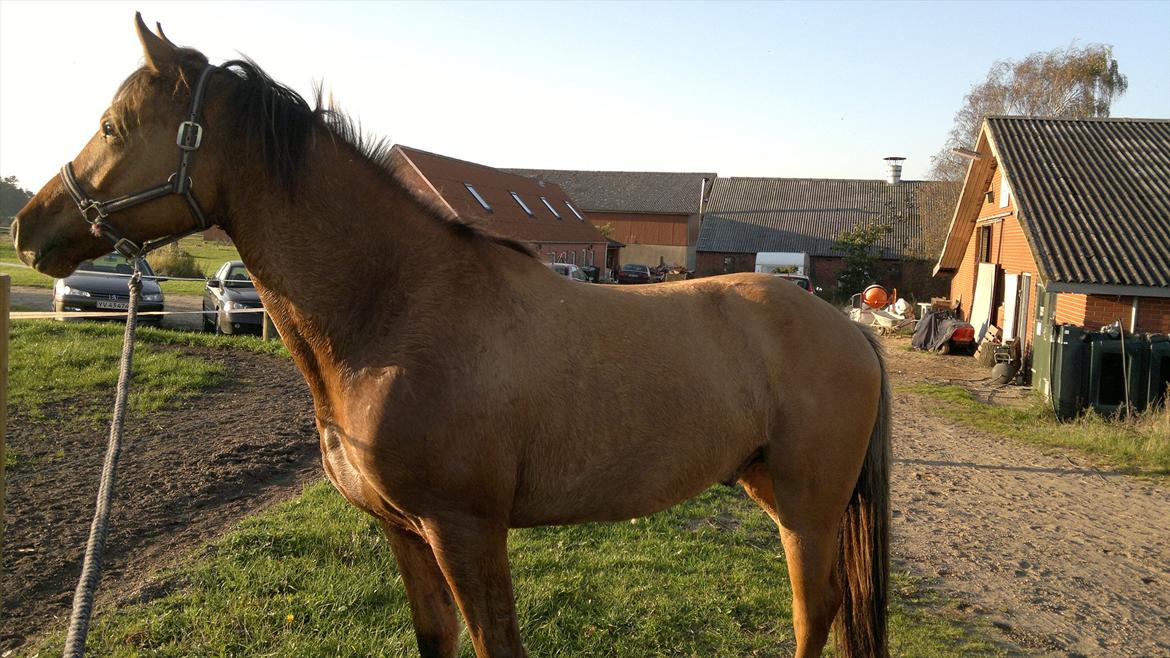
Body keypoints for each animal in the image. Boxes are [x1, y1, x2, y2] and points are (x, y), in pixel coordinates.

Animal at [12, 15, 890, 658]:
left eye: (113, 126)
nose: (30, 228)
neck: (398, 312)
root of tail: (852, 332)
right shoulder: (404, 531)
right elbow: (438, 640)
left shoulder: (464, 530)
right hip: (771, 490)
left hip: (808, 508)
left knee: (815, 612)